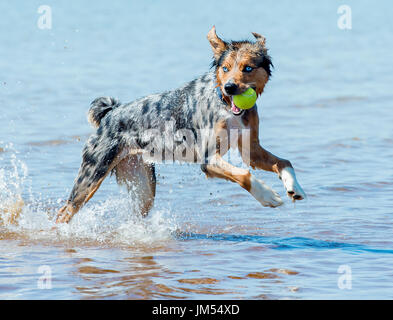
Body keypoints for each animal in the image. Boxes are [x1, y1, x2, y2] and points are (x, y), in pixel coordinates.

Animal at [56, 26, 306, 224]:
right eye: (225, 68)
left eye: (248, 68)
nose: (230, 88)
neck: (226, 106)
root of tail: (110, 114)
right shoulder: (208, 159)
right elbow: (244, 175)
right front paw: (268, 196)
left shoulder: (251, 150)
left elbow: (284, 162)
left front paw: (295, 188)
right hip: (92, 174)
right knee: (64, 212)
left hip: (143, 186)